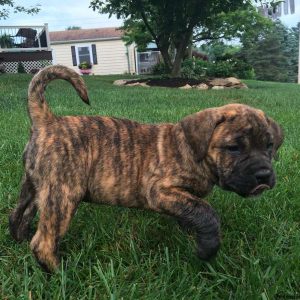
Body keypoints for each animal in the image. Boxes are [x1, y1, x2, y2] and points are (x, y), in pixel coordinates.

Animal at [8, 65, 284, 272]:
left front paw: (191, 234)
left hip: (35, 185)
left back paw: (19, 239)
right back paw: (61, 272)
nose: (263, 175)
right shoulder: (160, 191)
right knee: (43, 242)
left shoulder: (181, 197)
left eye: (270, 145)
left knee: (18, 213)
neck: (193, 150)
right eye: (233, 148)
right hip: (64, 193)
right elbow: (207, 213)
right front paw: (207, 248)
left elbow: (193, 212)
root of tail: (47, 121)